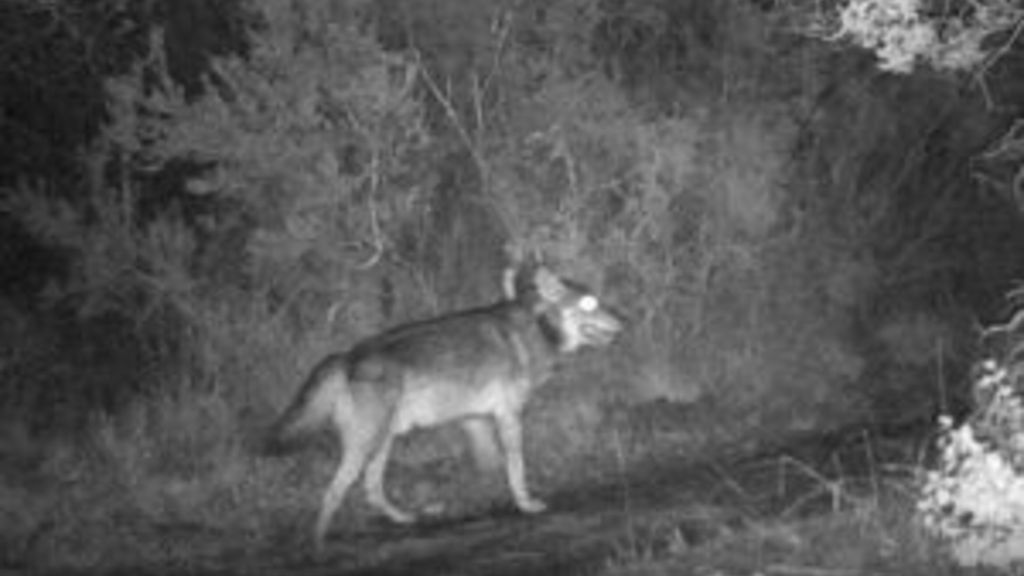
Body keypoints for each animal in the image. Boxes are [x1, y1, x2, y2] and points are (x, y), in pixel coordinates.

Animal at [267, 265, 623, 551]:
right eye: (589, 303)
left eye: (601, 300)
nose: (623, 320)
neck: (537, 328)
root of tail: (347, 356)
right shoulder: (507, 416)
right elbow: (516, 467)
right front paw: (526, 504)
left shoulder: (475, 419)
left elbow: (492, 467)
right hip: (367, 445)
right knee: (333, 493)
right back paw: (318, 544)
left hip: (382, 442)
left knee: (372, 490)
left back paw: (405, 518)